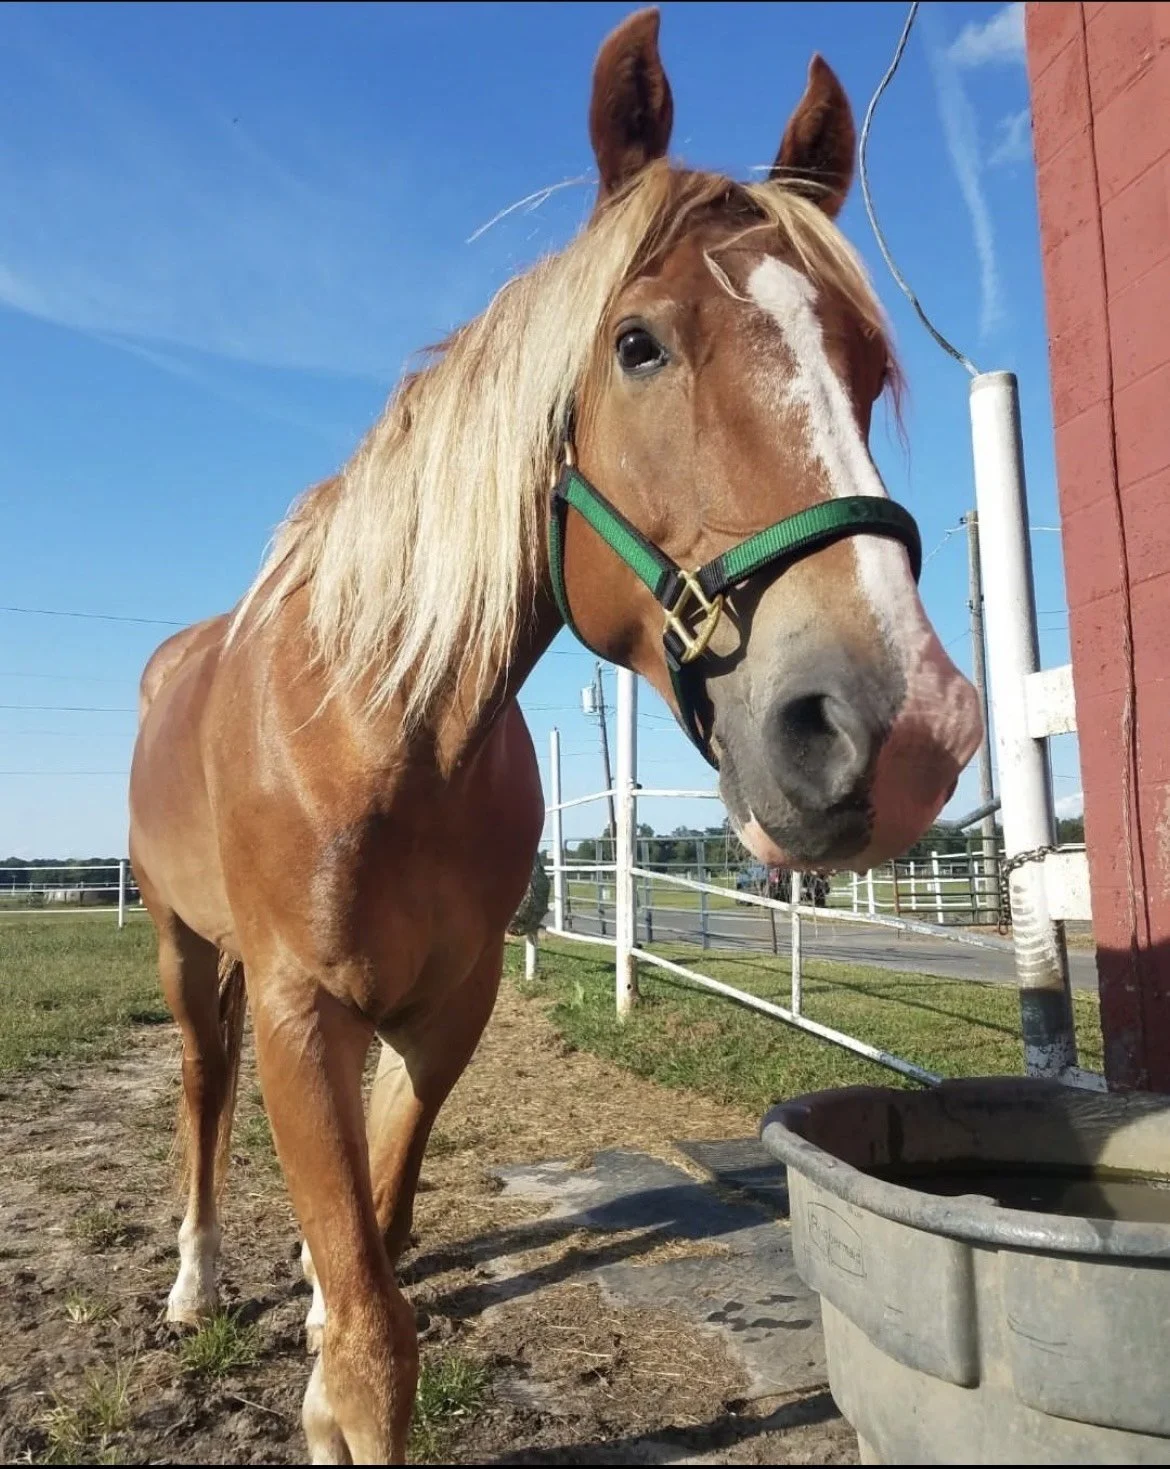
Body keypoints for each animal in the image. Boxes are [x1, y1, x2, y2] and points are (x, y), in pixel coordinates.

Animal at [128, 8, 982, 1461]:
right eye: (636, 344)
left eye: (867, 371)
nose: (905, 726)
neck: (383, 731)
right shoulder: (297, 1005)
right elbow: (375, 1343)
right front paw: (331, 1377)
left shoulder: (445, 1007)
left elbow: (377, 1242)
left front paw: (324, 1333)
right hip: (190, 951)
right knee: (197, 1094)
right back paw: (195, 1280)